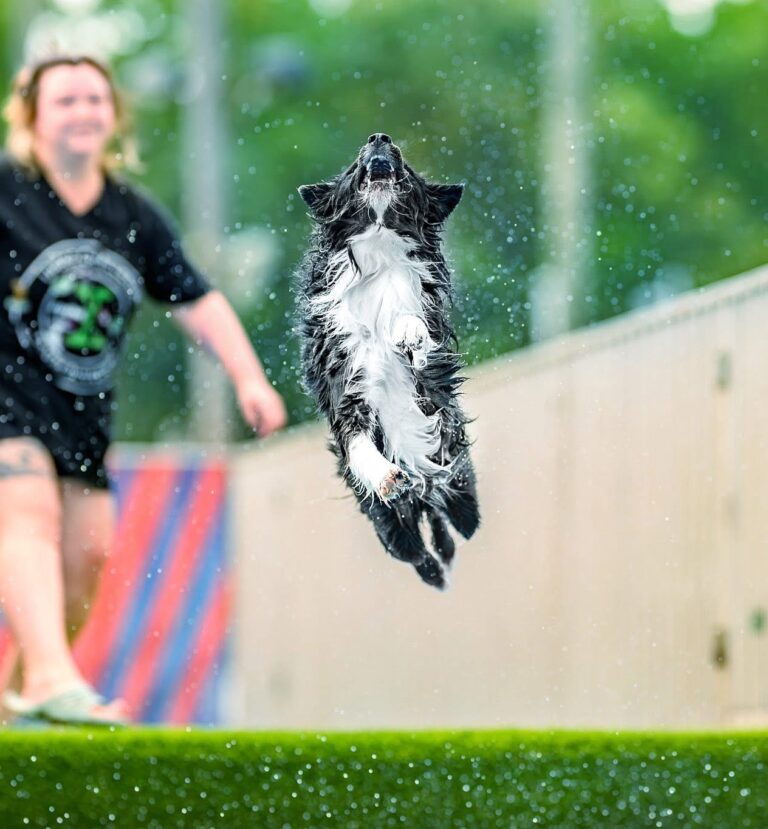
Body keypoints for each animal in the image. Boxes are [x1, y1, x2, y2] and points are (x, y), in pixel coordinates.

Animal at [297, 133, 480, 589]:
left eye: (406, 166)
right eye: (352, 165)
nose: (379, 138)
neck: (378, 250)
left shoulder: (431, 379)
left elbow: (416, 336)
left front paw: (407, 333)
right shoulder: (346, 386)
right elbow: (359, 444)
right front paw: (386, 476)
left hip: (462, 492)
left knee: (460, 527)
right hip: (394, 532)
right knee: (421, 554)